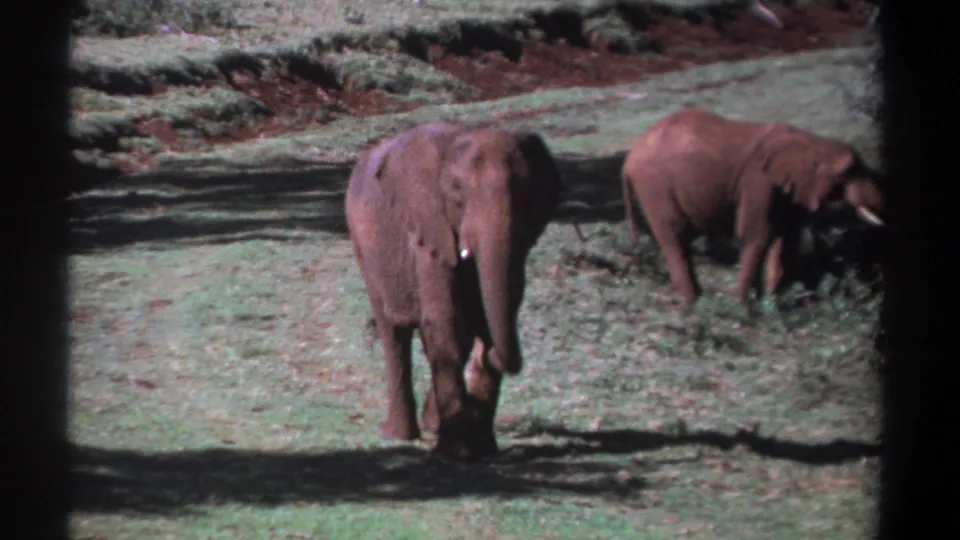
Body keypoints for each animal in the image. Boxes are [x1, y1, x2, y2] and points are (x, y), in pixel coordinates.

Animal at [344, 122, 562, 461]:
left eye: (525, 190)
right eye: (457, 191)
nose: (502, 358)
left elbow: (486, 320)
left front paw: (483, 448)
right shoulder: (429, 228)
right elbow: (446, 321)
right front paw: (458, 452)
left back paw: (432, 426)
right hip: (363, 246)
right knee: (394, 333)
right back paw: (400, 435)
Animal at [621, 107, 886, 311]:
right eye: (848, 172)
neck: (811, 143)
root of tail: (629, 159)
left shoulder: (790, 192)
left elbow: (786, 242)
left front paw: (773, 303)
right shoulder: (758, 182)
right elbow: (757, 236)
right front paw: (748, 308)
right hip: (654, 185)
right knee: (674, 238)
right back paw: (692, 303)